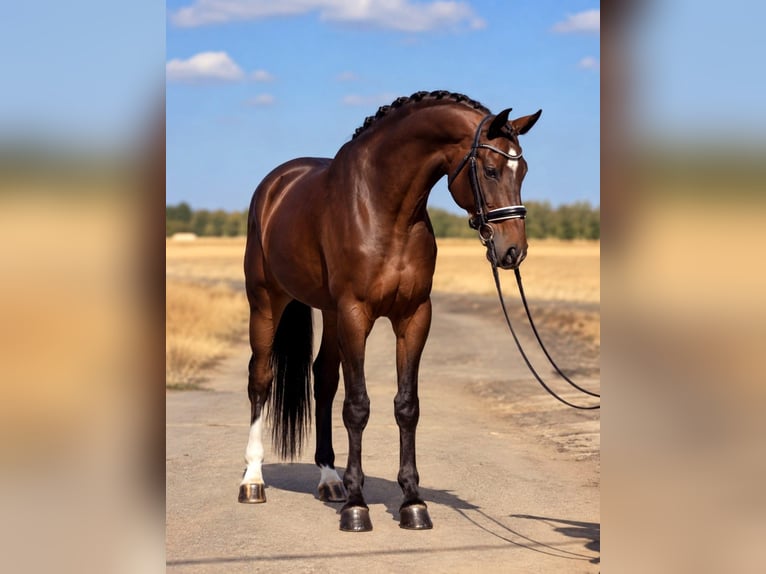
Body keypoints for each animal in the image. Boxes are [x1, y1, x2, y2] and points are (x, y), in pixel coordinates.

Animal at [239, 90, 542, 532]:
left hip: (328, 312)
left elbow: (406, 406)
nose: (513, 251)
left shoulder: (413, 316)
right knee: (261, 379)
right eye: (490, 170)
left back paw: (329, 479)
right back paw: (253, 481)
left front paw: (412, 502)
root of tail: (274, 185)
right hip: (265, 301)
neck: (384, 208)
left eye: (523, 172)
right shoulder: (355, 313)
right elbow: (358, 406)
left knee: (323, 379)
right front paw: (357, 507)